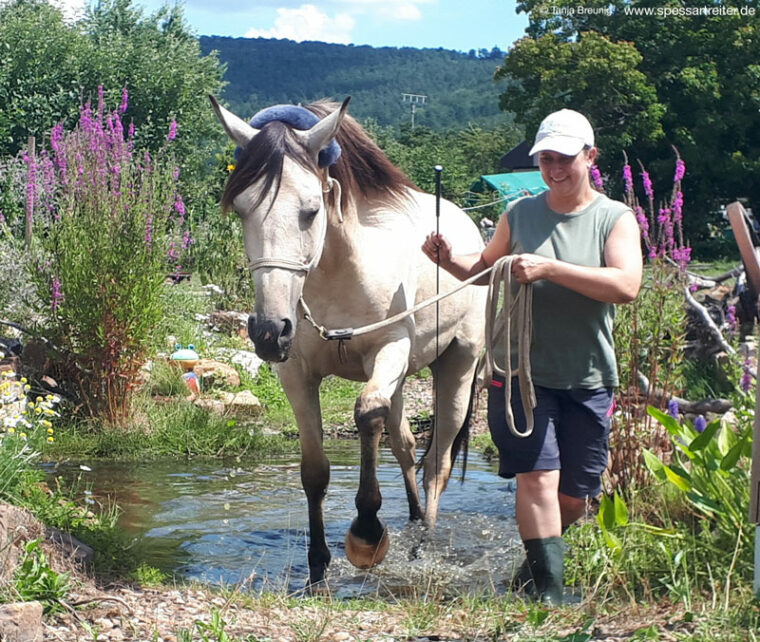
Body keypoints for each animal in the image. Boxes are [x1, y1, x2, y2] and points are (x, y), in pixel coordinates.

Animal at [206, 92, 486, 588]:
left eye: (311, 210)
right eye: (240, 209)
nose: (268, 331)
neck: (341, 276)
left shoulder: (387, 353)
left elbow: (366, 415)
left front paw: (368, 532)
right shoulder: (296, 374)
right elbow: (315, 472)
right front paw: (317, 567)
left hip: (457, 366)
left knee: (437, 463)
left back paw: (423, 544)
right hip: (405, 378)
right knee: (406, 447)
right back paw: (413, 520)